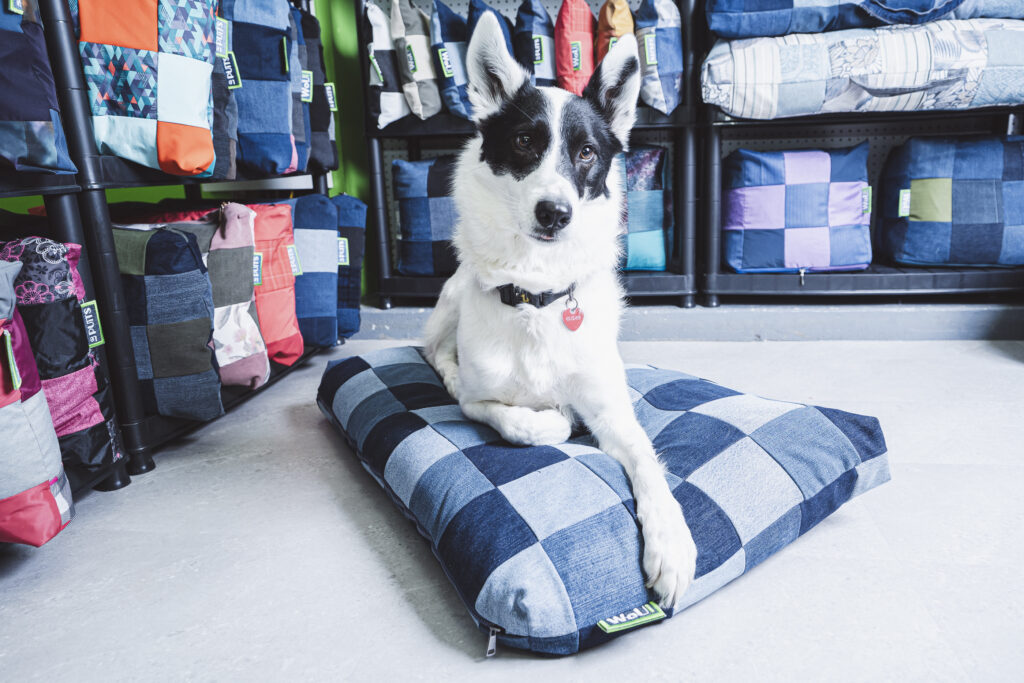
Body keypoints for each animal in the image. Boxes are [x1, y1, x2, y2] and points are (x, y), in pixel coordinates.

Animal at [423, 12, 697, 608]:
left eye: (587, 152)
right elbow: (522, 423)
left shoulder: (612, 409)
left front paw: (671, 541)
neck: (537, 294)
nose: (555, 213)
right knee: (433, 353)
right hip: (451, 300)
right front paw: (553, 420)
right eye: (525, 140)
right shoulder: (479, 403)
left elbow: (646, 457)